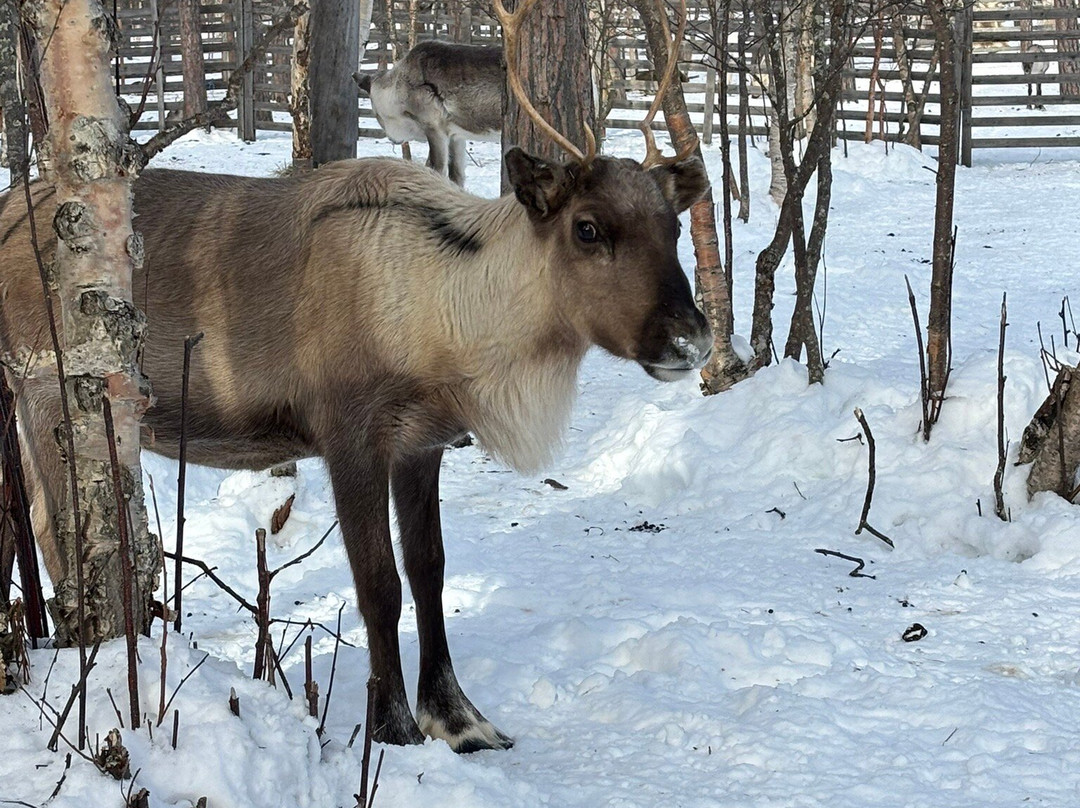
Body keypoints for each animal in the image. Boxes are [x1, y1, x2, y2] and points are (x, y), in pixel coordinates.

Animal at [354, 40, 504, 186]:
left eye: (376, 113)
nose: (392, 138)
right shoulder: (456, 135)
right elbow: (457, 176)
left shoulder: (434, 127)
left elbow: (437, 169)